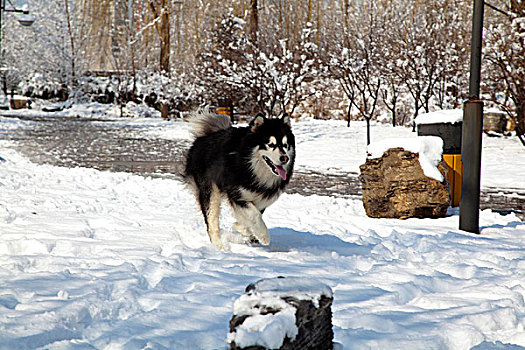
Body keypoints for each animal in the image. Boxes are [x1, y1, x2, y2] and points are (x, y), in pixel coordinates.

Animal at [184, 112, 292, 249]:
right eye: (271, 144)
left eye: (285, 145)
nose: (285, 158)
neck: (250, 167)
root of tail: (204, 137)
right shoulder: (237, 194)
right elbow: (255, 215)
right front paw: (263, 235)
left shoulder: (259, 199)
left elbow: (250, 218)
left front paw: (245, 230)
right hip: (210, 190)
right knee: (212, 221)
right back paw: (219, 246)